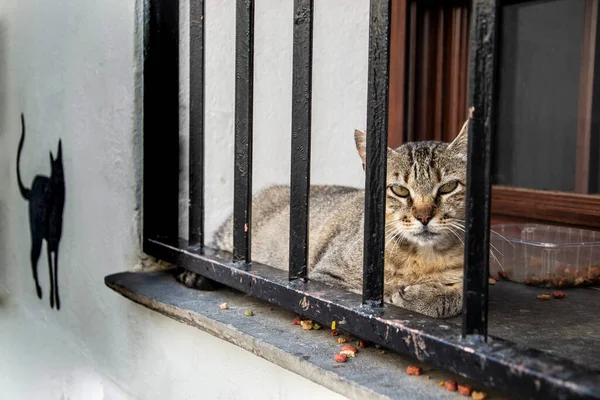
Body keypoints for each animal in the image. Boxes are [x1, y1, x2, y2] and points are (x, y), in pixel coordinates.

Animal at [176, 119, 472, 318]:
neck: (423, 260)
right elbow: (376, 296)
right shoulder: (326, 281)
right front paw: (409, 295)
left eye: (448, 187)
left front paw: (426, 296)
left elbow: (457, 295)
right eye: (399, 190)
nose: (423, 216)